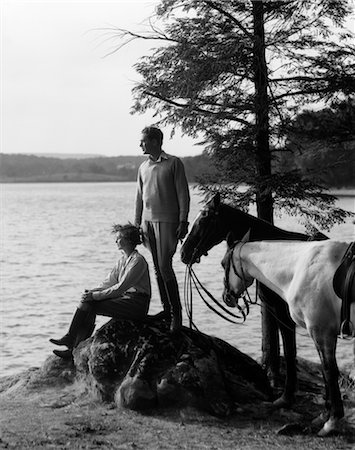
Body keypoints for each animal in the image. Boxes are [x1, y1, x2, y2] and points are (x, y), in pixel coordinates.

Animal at [181, 193, 328, 408]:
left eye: (204, 219)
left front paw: (287, 397)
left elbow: (290, 351)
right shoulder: (276, 311)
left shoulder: (283, 314)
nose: (184, 253)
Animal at [222, 236, 355, 436]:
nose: (226, 297)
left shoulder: (321, 331)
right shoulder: (325, 333)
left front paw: (331, 422)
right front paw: (324, 415)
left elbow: (329, 372)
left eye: (223, 264)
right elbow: (327, 373)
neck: (300, 267)